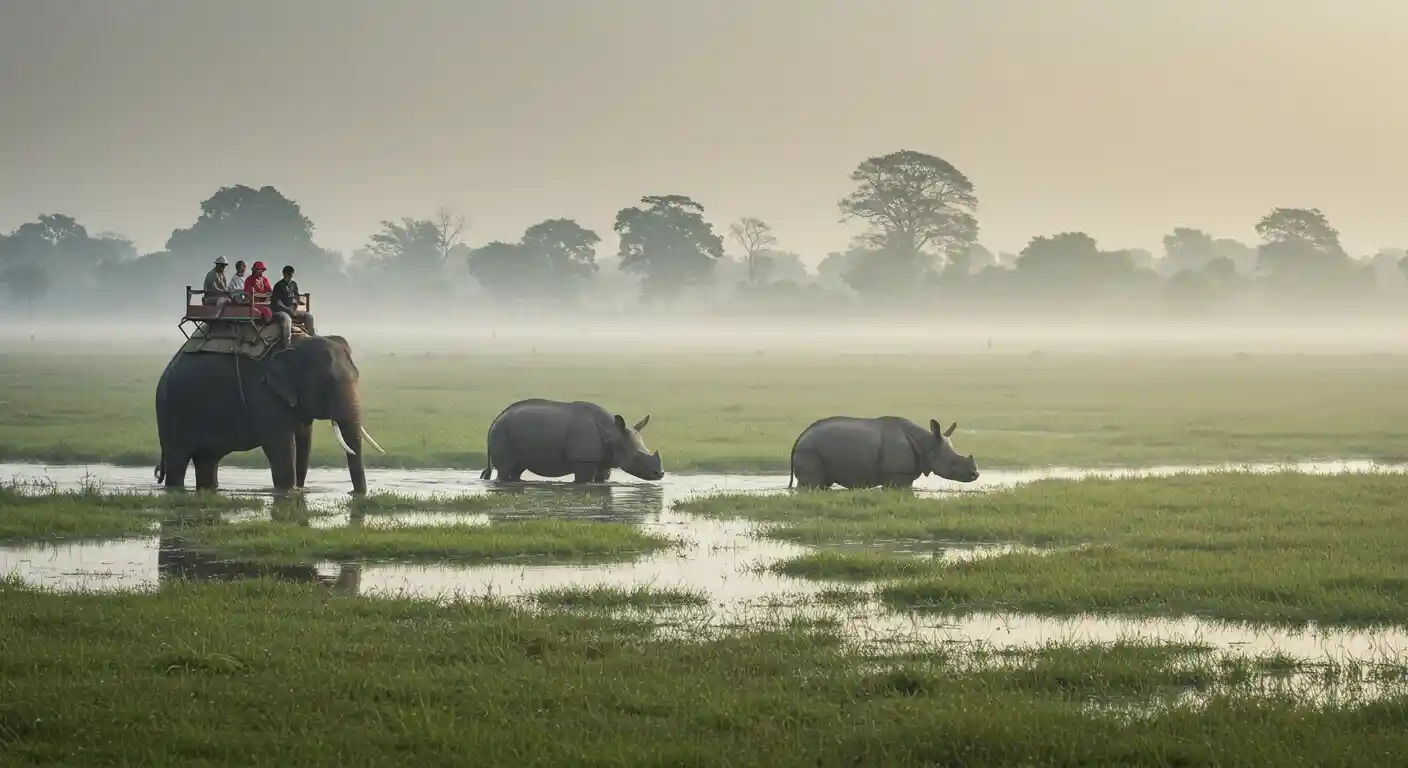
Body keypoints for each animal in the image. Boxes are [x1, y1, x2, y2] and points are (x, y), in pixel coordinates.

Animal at [152, 334, 383, 494]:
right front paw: (288, 492)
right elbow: (281, 446)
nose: (353, 493)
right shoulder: (263, 395)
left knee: (207, 461)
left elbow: (303, 442)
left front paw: (299, 491)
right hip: (170, 411)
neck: (297, 344)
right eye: (328, 382)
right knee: (177, 461)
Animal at [478, 398, 665, 484]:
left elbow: (601, 479)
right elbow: (584, 480)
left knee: (517, 469)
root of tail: (496, 419)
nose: (660, 474)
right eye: (637, 457)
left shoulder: (604, 459)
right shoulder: (583, 459)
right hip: (501, 432)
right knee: (506, 469)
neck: (613, 434)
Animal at [787, 415, 980, 490]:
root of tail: (800, 437)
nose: (975, 474)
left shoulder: (905, 475)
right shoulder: (897, 474)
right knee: (812, 484)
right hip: (809, 450)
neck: (927, 443)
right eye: (952, 462)